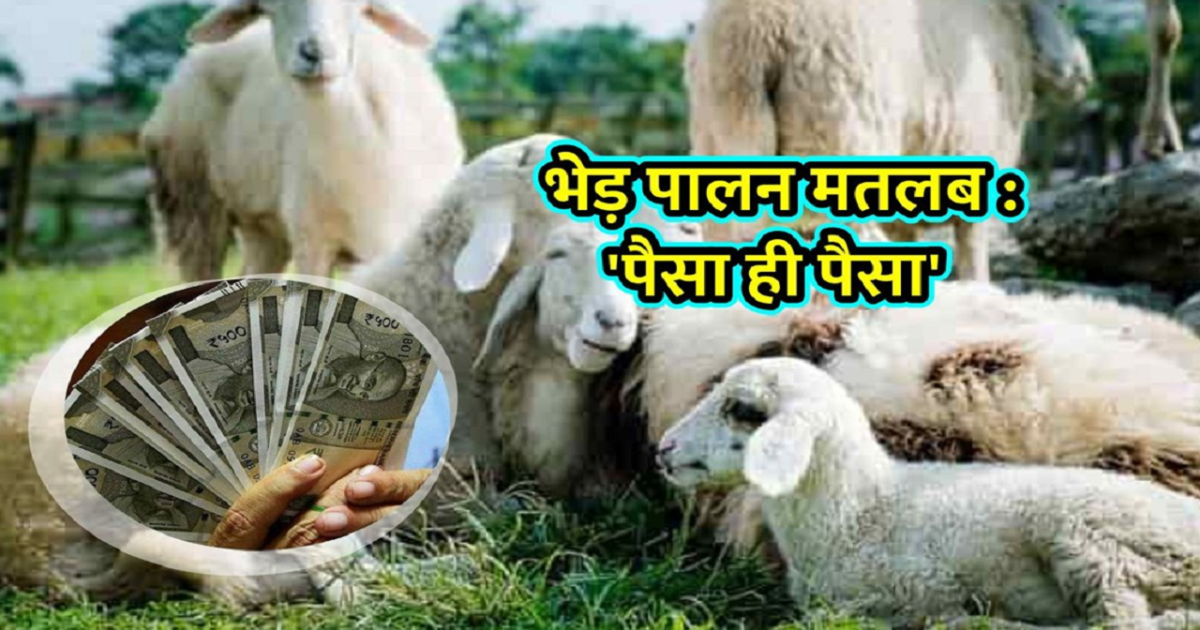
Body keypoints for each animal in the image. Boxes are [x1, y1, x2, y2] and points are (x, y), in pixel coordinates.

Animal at [142, 0, 463, 281]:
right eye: (266, 8)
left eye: (357, 7)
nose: (315, 52)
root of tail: (191, 57)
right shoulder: (312, 240)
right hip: (194, 206)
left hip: (263, 229)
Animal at [658, 357, 1200, 629]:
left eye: (743, 410)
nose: (664, 449)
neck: (861, 510)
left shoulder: (922, 586)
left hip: (1099, 542)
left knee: (1125, 620)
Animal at [685, 0, 1094, 282]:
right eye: (1062, 5)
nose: (1084, 75)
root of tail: (754, 33)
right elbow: (973, 256)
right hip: (844, 134)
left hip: (720, 134)